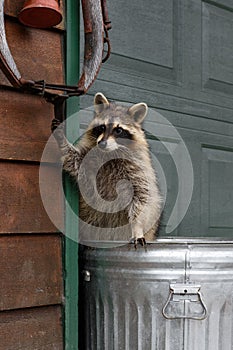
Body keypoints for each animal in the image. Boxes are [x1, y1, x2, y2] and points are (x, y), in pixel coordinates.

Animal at [51, 91, 160, 247]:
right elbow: (74, 160)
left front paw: (137, 227)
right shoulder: (89, 159)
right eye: (102, 127)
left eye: (119, 130)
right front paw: (62, 141)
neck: (109, 152)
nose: (101, 143)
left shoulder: (137, 169)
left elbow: (141, 197)